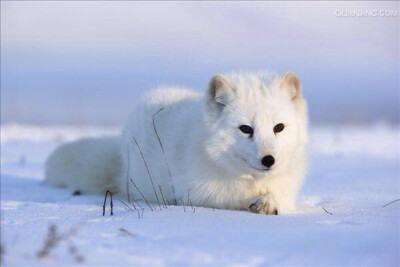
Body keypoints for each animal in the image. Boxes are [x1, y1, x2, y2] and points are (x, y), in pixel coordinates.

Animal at [47, 71, 310, 216]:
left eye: (279, 127)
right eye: (246, 129)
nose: (269, 160)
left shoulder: (287, 192)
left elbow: (278, 198)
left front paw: (268, 202)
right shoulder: (196, 193)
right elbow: (232, 199)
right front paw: (255, 202)